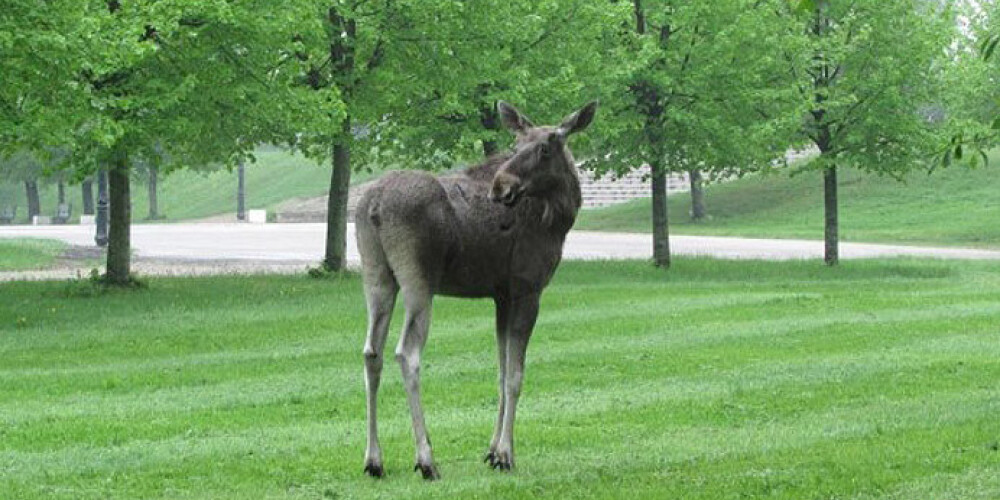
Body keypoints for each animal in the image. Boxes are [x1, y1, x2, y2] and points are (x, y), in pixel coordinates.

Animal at [358, 99, 596, 478]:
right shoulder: (528, 288)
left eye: (544, 148)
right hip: (418, 281)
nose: (501, 187)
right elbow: (515, 375)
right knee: (406, 353)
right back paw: (426, 459)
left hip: (377, 276)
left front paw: (492, 451)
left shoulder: (501, 295)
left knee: (371, 352)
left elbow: (500, 370)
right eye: (516, 144)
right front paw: (506, 454)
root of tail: (374, 205)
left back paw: (373, 460)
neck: (560, 218)